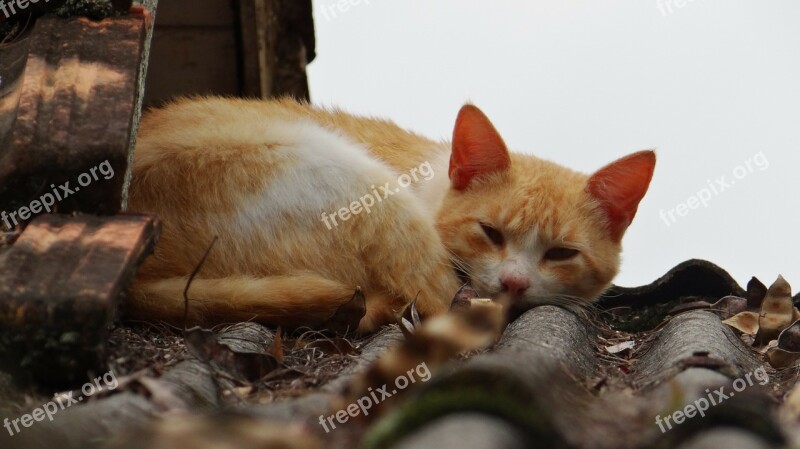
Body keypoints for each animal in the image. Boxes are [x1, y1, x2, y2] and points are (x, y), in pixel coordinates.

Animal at [126, 97, 656, 328]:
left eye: (562, 253)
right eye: (490, 232)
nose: (514, 283)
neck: (431, 179)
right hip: (353, 178)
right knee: (435, 299)